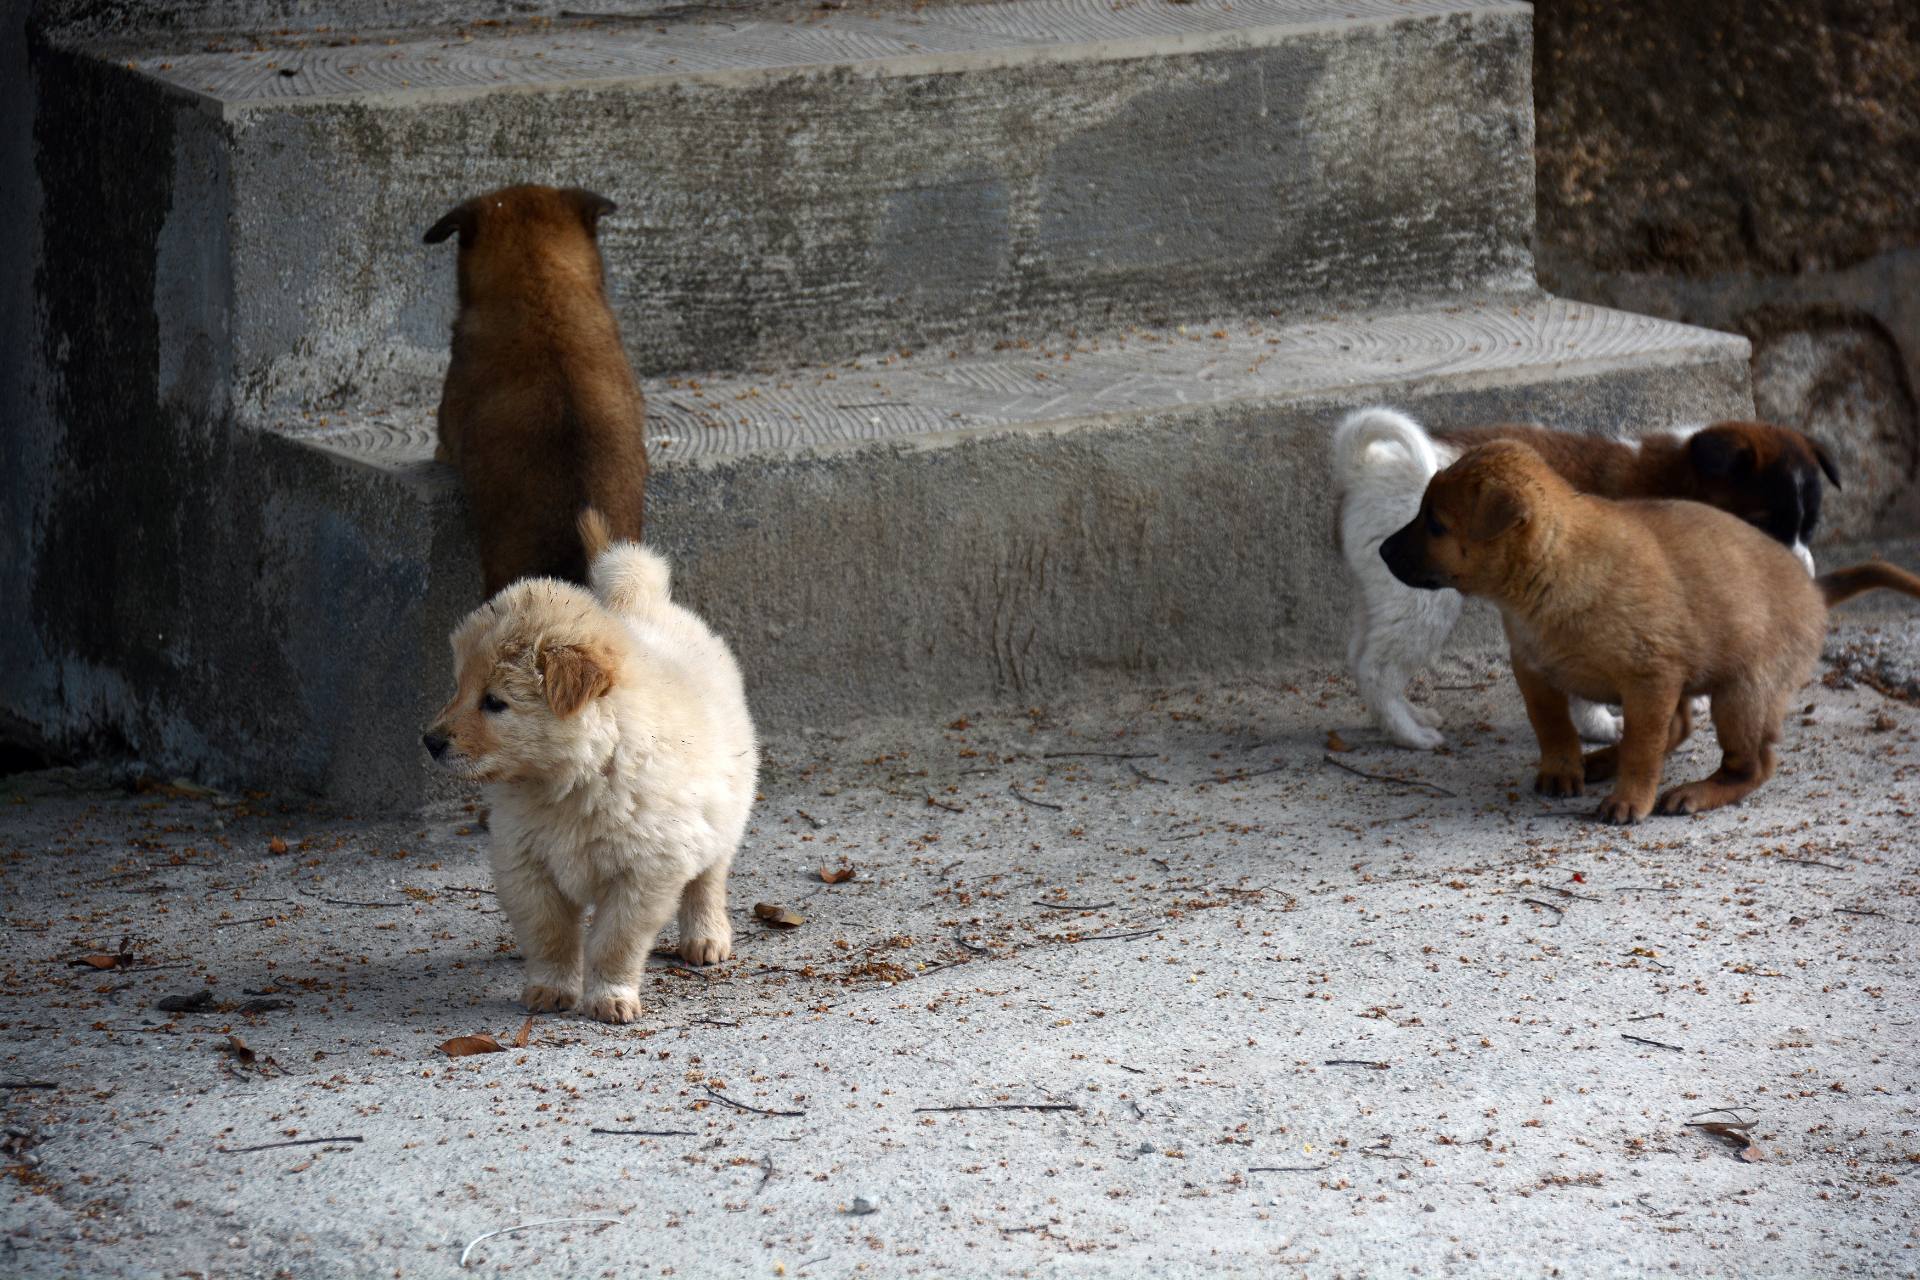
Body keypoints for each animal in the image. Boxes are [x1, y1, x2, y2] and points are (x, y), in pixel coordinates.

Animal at [424, 514, 760, 1028]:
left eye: (495, 702)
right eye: (459, 688)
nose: (431, 741)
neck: (578, 779)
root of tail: (643, 603)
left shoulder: (644, 873)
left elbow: (614, 942)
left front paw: (609, 998)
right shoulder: (525, 862)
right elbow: (551, 934)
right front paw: (550, 989)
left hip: (723, 816)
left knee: (707, 881)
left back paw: (705, 938)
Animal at [1382, 441, 1920, 821]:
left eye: (1435, 524)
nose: (1382, 551)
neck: (1556, 568)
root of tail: (1813, 589)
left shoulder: (1650, 678)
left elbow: (1644, 748)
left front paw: (1629, 800)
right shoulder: (1535, 671)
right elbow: (1553, 727)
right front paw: (1563, 768)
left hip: (1741, 696)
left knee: (1750, 765)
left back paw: (1694, 792)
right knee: (1680, 729)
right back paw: (1603, 761)